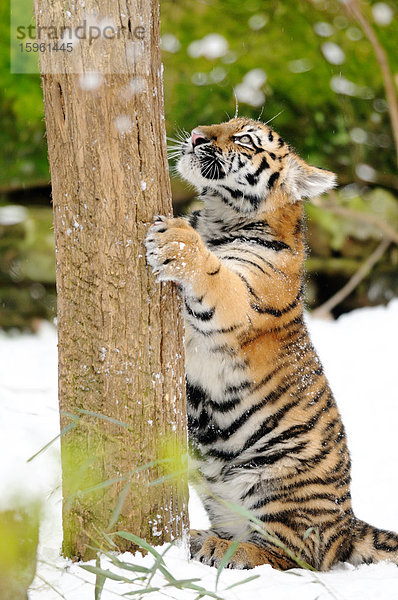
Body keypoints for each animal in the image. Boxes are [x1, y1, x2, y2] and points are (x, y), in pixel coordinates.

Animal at [145, 118, 398, 572]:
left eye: (243, 138)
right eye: (222, 123)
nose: (196, 135)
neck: (217, 218)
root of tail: (348, 524)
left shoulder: (240, 299)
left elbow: (212, 272)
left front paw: (176, 237)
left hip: (275, 482)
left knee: (292, 556)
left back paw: (219, 549)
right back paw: (201, 540)